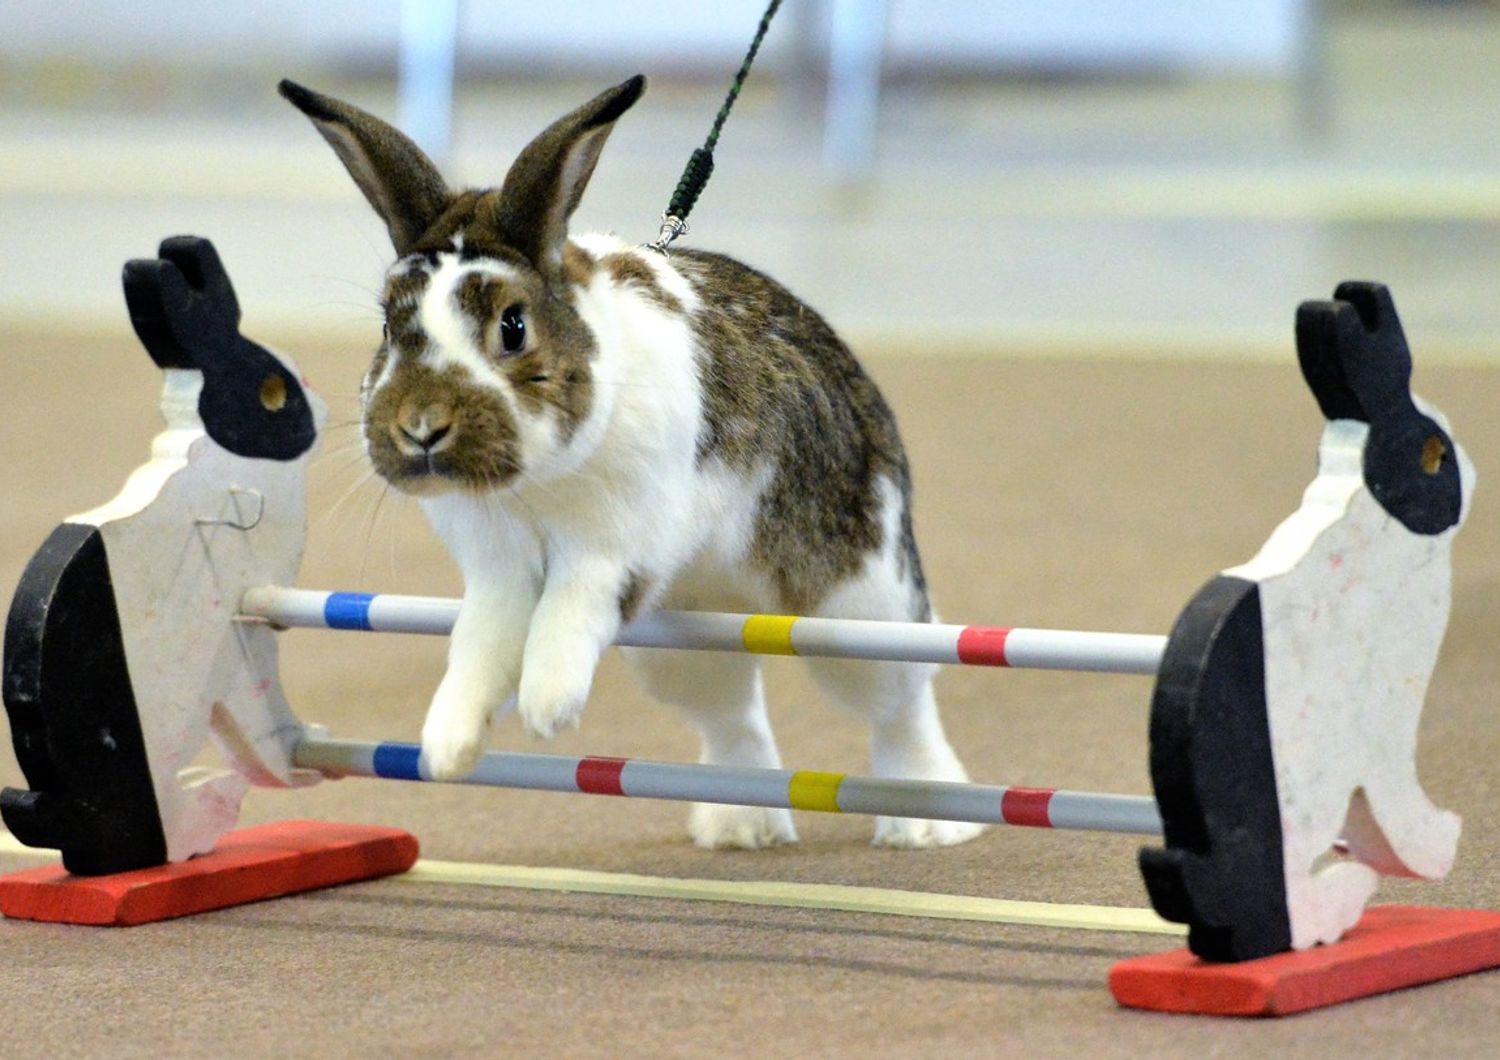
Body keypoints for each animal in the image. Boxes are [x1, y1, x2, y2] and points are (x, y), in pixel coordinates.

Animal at [282, 74, 984, 851]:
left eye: (513, 326)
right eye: (387, 326)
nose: (421, 428)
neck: (537, 482)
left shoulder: (615, 548)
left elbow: (567, 612)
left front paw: (548, 705)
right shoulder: (497, 573)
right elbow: (480, 643)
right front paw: (449, 744)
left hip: (854, 612)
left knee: (901, 704)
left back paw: (927, 819)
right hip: (680, 643)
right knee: (732, 717)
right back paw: (742, 825)